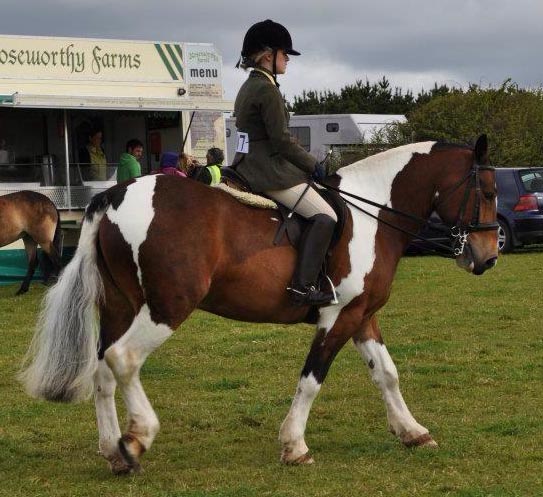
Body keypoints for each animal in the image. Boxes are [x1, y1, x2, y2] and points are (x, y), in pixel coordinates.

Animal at [20, 135, 498, 472]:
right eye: (490, 192)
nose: (488, 256)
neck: (373, 215)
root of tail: (114, 196)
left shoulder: (362, 315)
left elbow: (387, 374)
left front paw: (412, 432)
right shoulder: (338, 317)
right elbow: (311, 379)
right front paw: (294, 445)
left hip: (120, 307)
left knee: (103, 369)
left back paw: (114, 451)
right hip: (166, 308)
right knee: (124, 359)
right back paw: (138, 438)